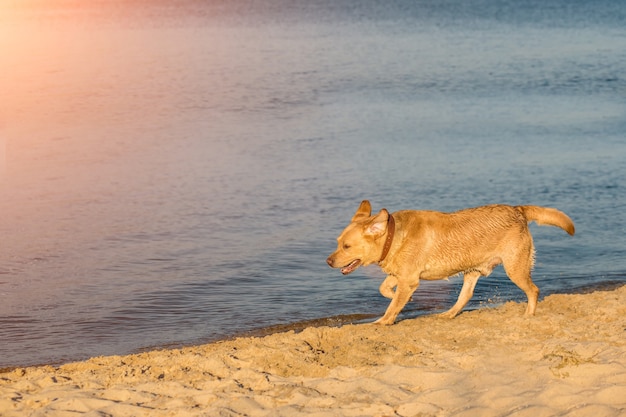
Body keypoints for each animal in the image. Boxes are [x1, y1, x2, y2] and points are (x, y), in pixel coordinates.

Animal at [324, 200, 572, 324]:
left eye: (346, 246)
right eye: (337, 243)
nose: (328, 260)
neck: (393, 236)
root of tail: (518, 210)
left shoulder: (409, 279)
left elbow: (392, 306)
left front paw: (383, 321)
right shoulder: (402, 275)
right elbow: (385, 289)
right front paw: (401, 299)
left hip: (515, 268)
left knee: (533, 290)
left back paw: (528, 315)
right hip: (472, 271)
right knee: (465, 296)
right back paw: (449, 314)